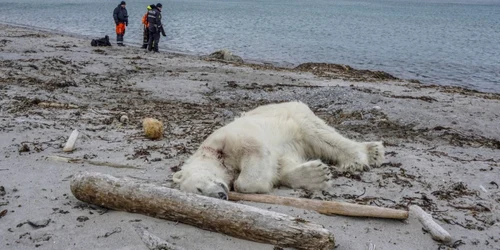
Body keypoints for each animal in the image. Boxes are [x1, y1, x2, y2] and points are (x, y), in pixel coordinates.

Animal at [172, 100, 382, 200]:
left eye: (199, 188)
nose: (221, 195)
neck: (214, 154)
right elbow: (283, 165)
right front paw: (317, 175)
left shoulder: (230, 138)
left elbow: (254, 156)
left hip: (296, 115)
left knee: (320, 135)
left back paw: (363, 156)